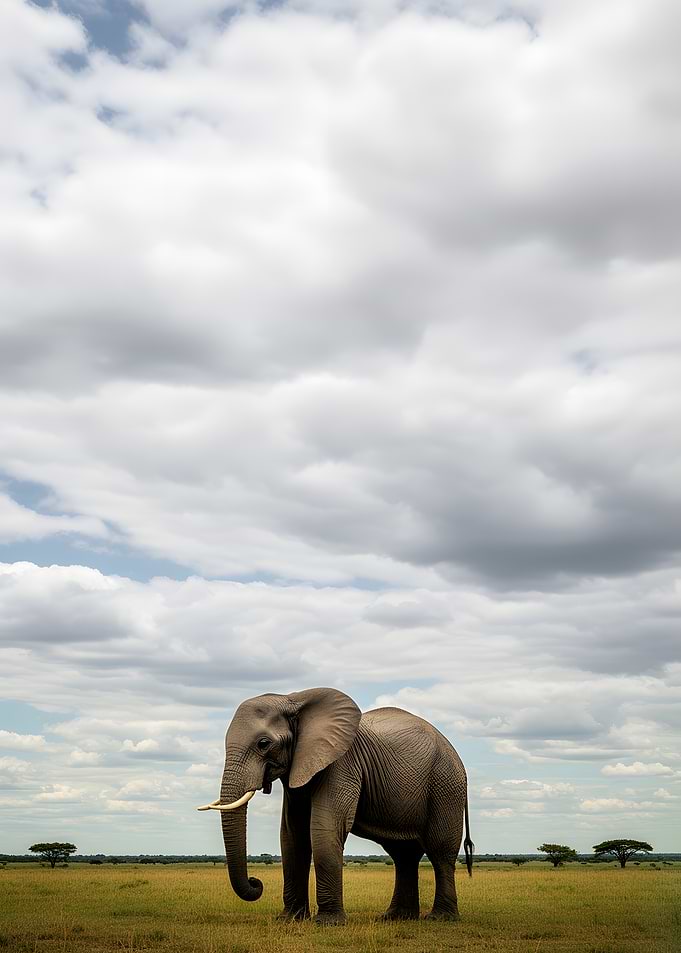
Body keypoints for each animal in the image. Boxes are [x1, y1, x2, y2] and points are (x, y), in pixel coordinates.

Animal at [198, 687, 473, 924]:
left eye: (263, 743)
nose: (257, 883)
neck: (293, 700)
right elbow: (292, 836)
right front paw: (289, 919)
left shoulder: (342, 763)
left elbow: (324, 828)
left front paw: (327, 923)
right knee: (403, 854)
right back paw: (396, 918)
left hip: (446, 784)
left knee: (440, 851)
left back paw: (440, 918)